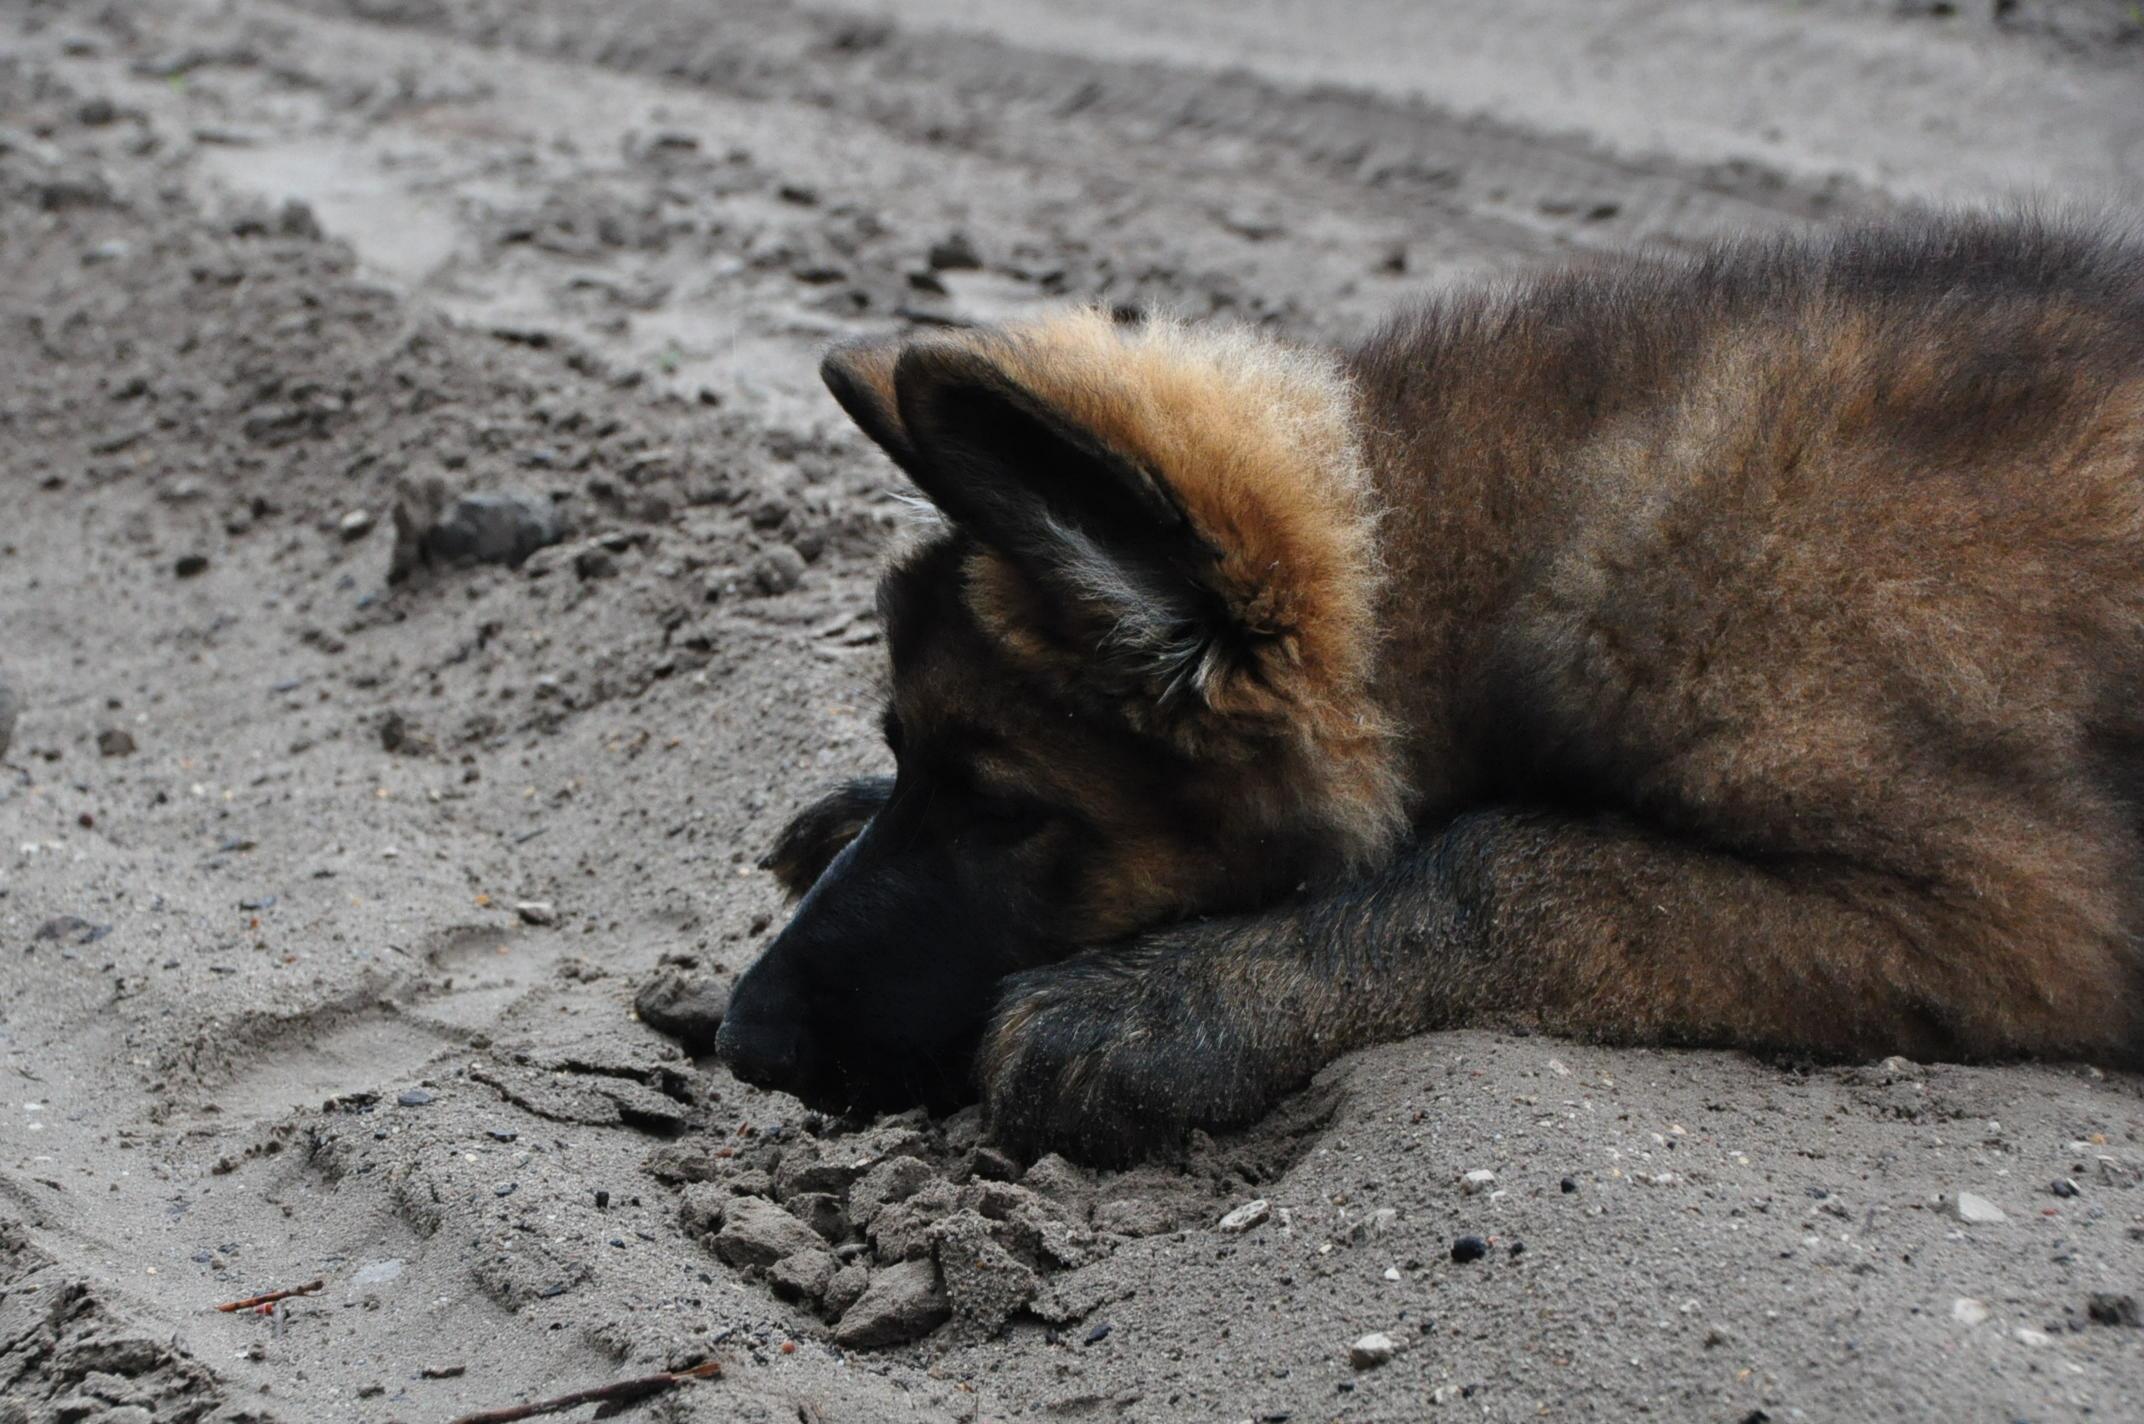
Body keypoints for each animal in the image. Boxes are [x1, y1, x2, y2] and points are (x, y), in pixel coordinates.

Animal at [714, 215, 2144, 1165]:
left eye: (1012, 814)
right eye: (910, 752)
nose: (739, 1040)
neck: (1499, 553)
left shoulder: (2011, 914)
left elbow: (1508, 864)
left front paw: (1163, 1001)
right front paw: (844, 809)